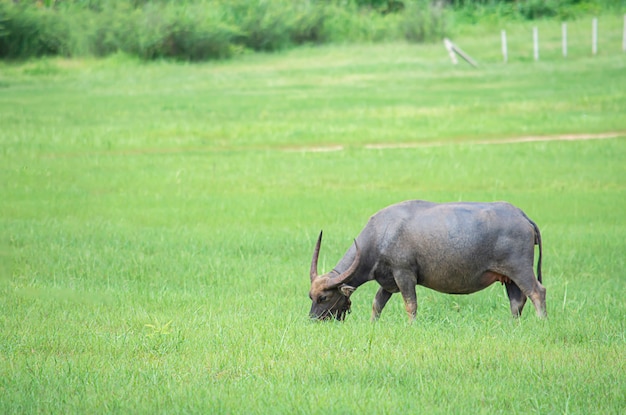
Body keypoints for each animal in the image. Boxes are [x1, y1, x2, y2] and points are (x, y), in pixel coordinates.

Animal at [310, 201, 544, 322]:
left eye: (323, 297)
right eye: (310, 296)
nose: (313, 319)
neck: (380, 235)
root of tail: (522, 216)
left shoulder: (404, 274)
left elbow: (410, 305)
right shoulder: (388, 282)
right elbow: (377, 304)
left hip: (520, 269)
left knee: (537, 292)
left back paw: (542, 322)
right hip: (509, 278)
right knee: (517, 302)